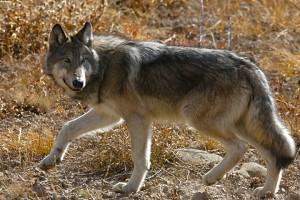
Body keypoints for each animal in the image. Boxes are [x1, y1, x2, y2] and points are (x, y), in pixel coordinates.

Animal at [39, 21, 296, 197]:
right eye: (66, 60)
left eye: (83, 60)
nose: (78, 82)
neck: (104, 66)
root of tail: (249, 66)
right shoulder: (109, 115)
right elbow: (67, 128)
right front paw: (52, 159)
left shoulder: (137, 118)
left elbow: (140, 157)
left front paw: (131, 188)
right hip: (243, 125)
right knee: (274, 155)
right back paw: (265, 191)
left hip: (199, 119)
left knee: (241, 147)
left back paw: (211, 178)